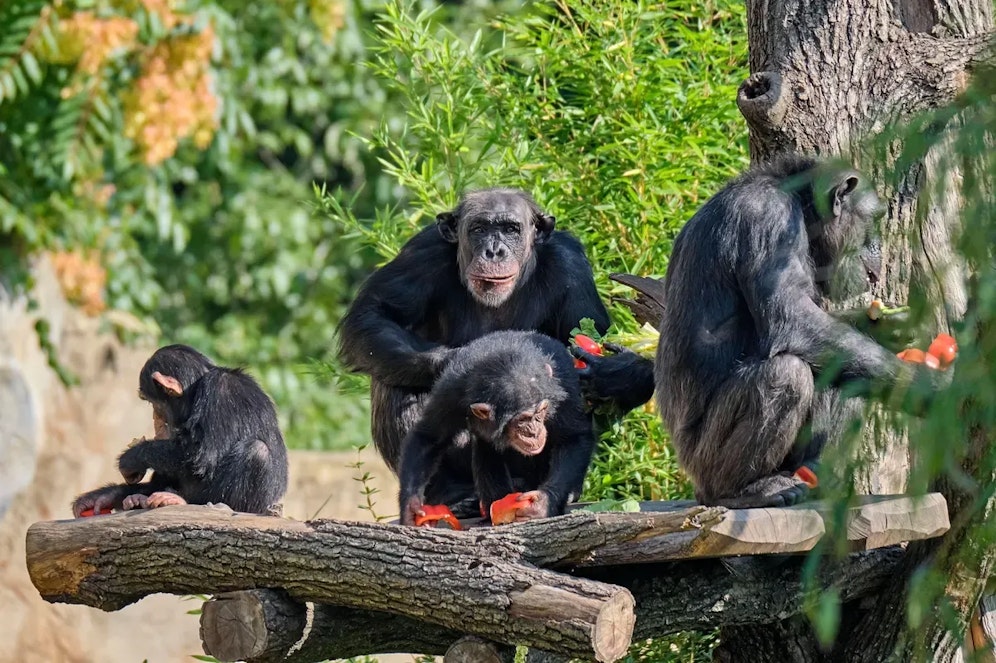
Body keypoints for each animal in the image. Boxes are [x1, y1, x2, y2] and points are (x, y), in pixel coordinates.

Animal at [69, 344, 288, 520]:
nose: (155, 420)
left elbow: (198, 455)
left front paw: (130, 458)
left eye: (152, 402)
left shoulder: (219, 391)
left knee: (256, 451)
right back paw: (135, 498)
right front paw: (102, 496)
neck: (196, 388)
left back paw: (179, 500)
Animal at [396, 330, 596, 528]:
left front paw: (543, 504)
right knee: (486, 446)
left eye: (541, 411)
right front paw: (412, 509)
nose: (534, 432)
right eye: (522, 420)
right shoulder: (450, 392)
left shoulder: (562, 387)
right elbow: (430, 437)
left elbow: (572, 438)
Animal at [572, 156, 944, 508]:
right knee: (785, 375)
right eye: (875, 219)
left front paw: (891, 328)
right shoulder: (769, 220)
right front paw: (934, 389)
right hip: (702, 461)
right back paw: (745, 490)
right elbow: (793, 317)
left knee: (844, 370)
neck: (800, 206)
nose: (879, 247)